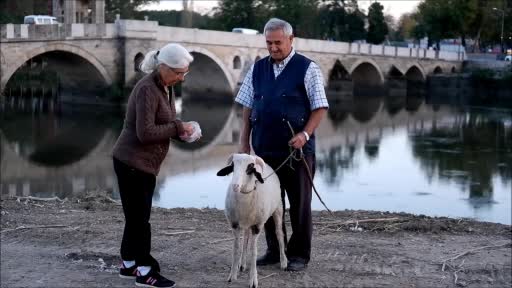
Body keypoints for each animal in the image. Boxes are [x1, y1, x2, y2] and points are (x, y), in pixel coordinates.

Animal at [216, 154, 288, 286]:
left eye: (250, 167)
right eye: (233, 166)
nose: (235, 186)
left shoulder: (257, 226)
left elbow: (254, 252)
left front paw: (253, 280)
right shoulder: (234, 224)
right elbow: (236, 249)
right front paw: (232, 276)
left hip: (278, 209)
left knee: (279, 234)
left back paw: (284, 262)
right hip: (246, 223)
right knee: (246, 239)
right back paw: (242, 264)